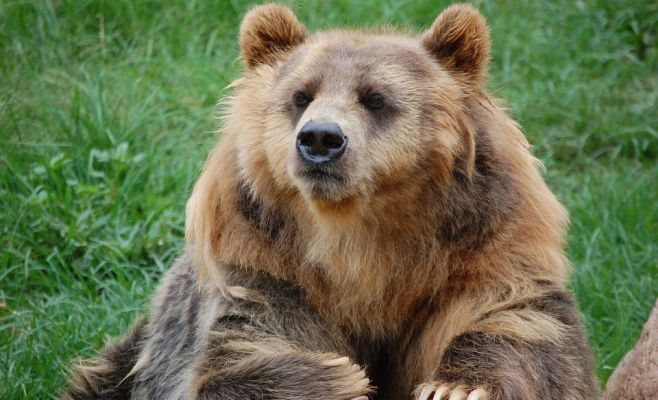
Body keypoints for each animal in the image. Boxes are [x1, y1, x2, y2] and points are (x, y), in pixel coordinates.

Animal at [61, 3, 597, 400]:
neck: (359, 247)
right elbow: (235, 353)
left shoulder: (482, 257)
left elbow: (522, 323)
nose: (320, 138)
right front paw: (336, 376)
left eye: (375, 98)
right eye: (301, 95)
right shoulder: (264, 275)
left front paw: (456, 386)